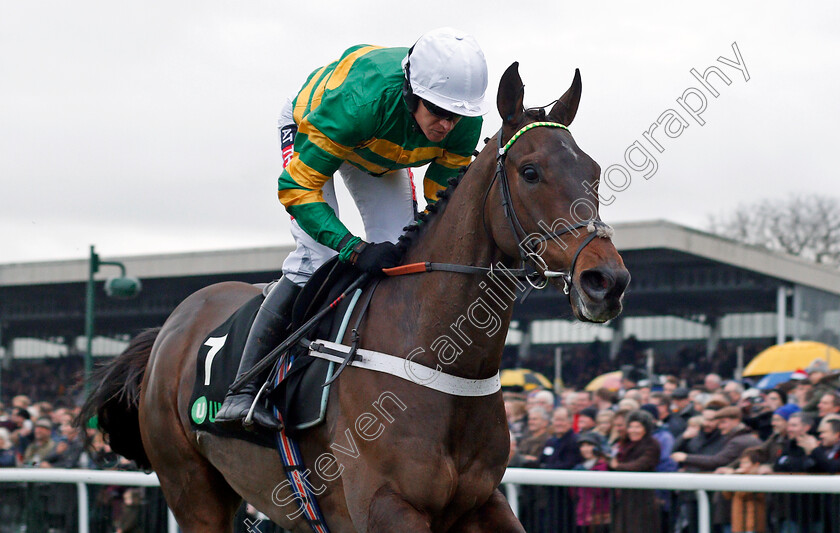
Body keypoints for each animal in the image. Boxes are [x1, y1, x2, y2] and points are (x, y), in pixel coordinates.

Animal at [82, 63, 632, 532]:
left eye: (593, 171)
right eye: (531, 171)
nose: (605, 280)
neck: (442, 363)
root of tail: (169, 327)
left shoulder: (482, 503)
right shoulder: (387, 506)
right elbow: (300, 185)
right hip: (191, 488)